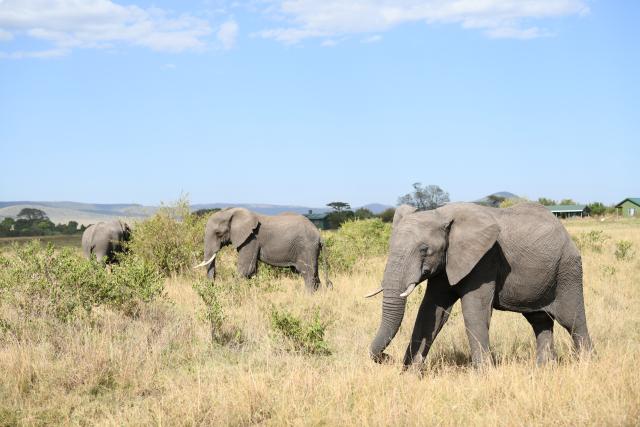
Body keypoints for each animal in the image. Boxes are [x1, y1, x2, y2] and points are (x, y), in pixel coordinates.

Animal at [195, 208, 331, 292]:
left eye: (218, 233)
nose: (212, 286)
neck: (233, 211)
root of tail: (319, 235)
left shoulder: (251, 239)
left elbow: (246, 269)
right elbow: (252, 270)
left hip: (306, 247)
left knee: (307, 274)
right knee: (314, 275)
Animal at [366, 202, 593, 368]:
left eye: (424, 250)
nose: (387, 357)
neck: (441, 214)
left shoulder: (485, 259)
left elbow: (474, 311)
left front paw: (483, 373)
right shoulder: (447, 263)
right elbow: (431, 311)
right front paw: (409, 372)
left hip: (568, 270)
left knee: (572, 320)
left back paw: (586, 364)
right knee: (539, 320)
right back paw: (544, 368)